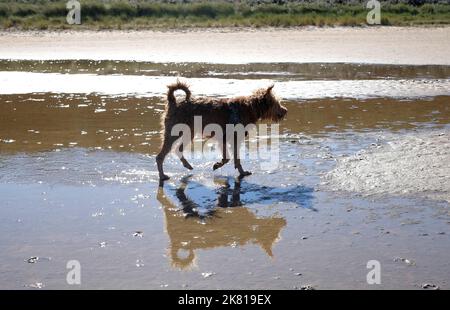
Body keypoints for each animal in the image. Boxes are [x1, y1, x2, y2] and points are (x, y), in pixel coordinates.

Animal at [156, 80, 286, 182]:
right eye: (276, 103)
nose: (285, 110)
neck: (250, 108)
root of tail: (173, 101)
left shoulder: (228, 139)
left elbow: (232, 158)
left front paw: (237, 171)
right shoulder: (228, 138)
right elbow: (231, 158)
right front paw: (221, 166)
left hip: (189, 133)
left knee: (178, 149)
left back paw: (187, 165)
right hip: (173, 133)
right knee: (160, 156)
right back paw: (162, 175)